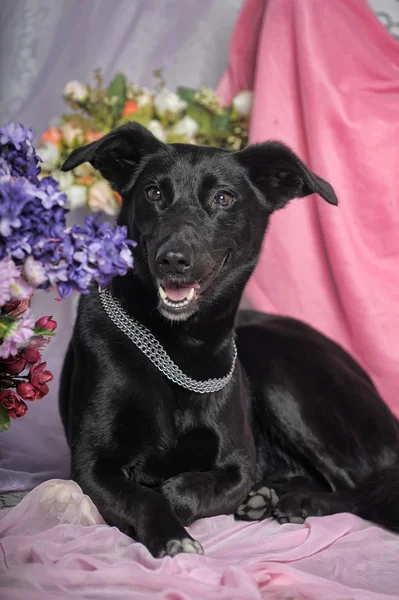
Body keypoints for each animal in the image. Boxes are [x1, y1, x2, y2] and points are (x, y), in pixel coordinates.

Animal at [59, 123, 399, 556]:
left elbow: (182, 489)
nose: (173, 259)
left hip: (274, 364)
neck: (181, 347)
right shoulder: (91, 465)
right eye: (153, 193)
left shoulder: (238, 464)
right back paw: (272, 495)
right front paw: (171, 533)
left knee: (360, 489)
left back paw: (299, 501)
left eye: (223, 198)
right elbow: (142, 496)